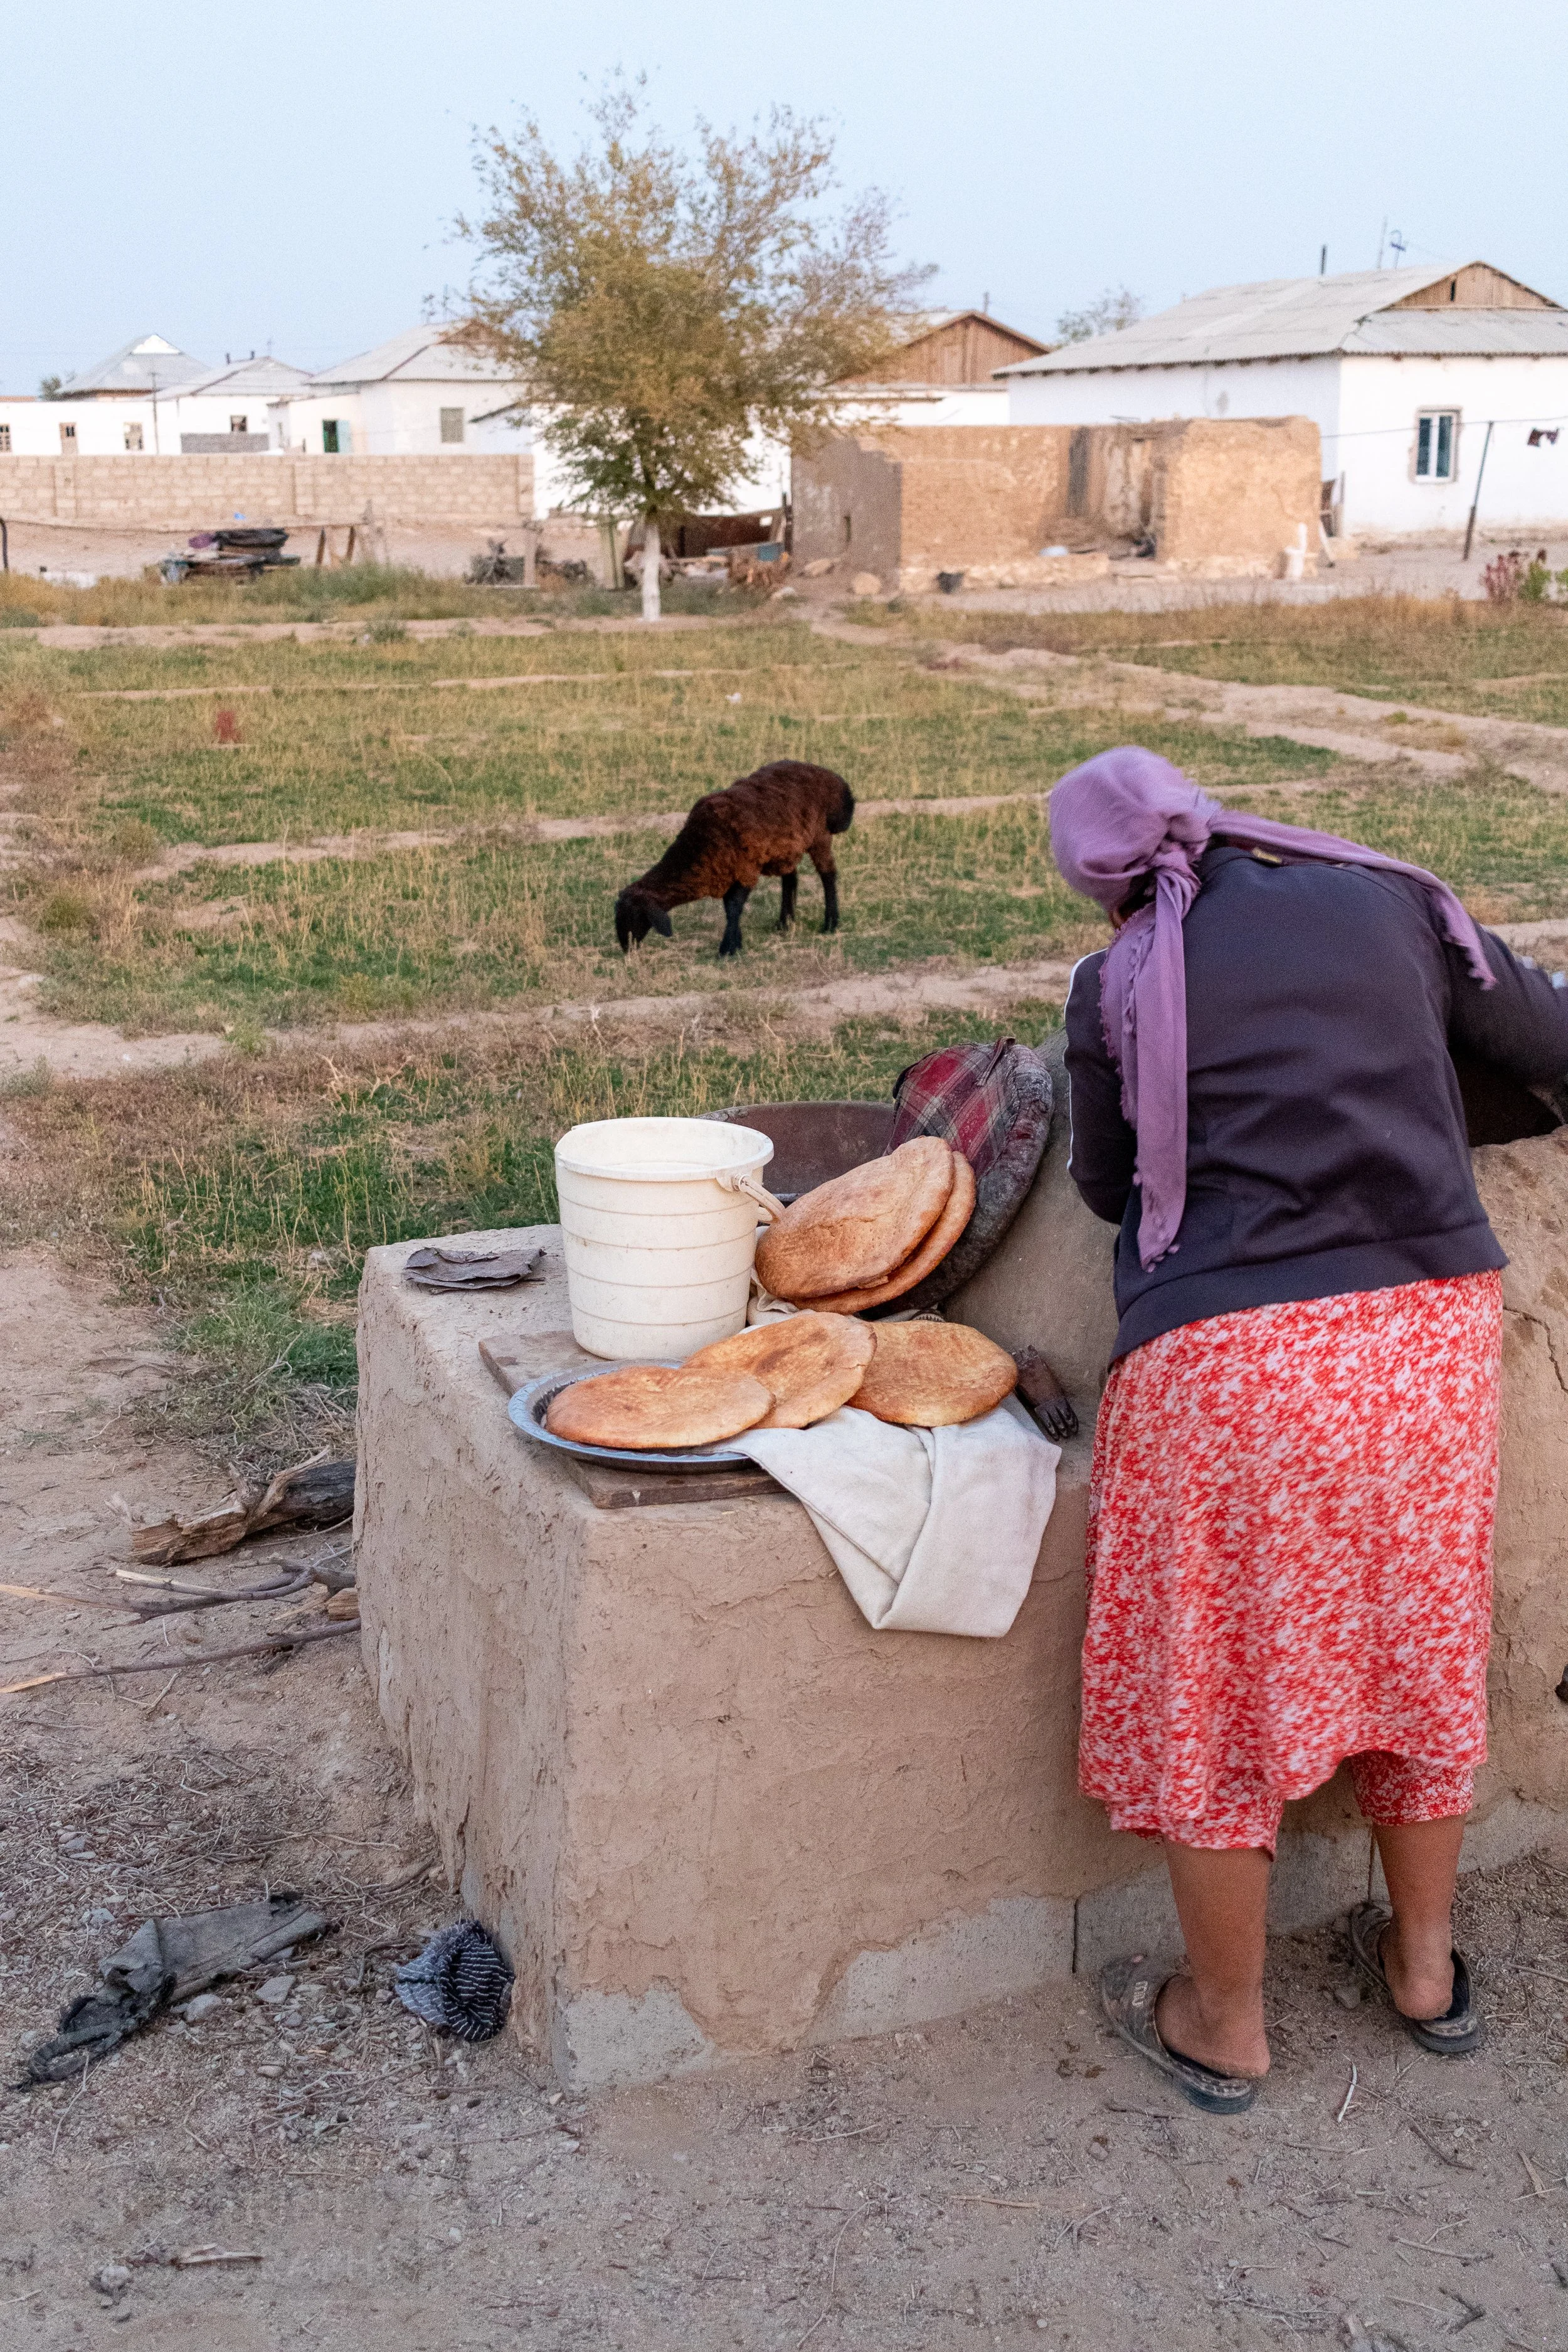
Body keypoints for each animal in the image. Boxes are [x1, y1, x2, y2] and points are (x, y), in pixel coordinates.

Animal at [614, 760, 854, 958]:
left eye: (633, 914)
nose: (626, 949)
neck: (697, 847)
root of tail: (831, 778)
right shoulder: (726, 872)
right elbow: (729, 908)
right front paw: (736, 943)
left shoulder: (746, 868)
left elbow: (733, 907)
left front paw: (727, 949)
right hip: (784, 849)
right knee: (790, 879)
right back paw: (784, 923)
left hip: (819, 835)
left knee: (828, 874)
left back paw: (831, 923)